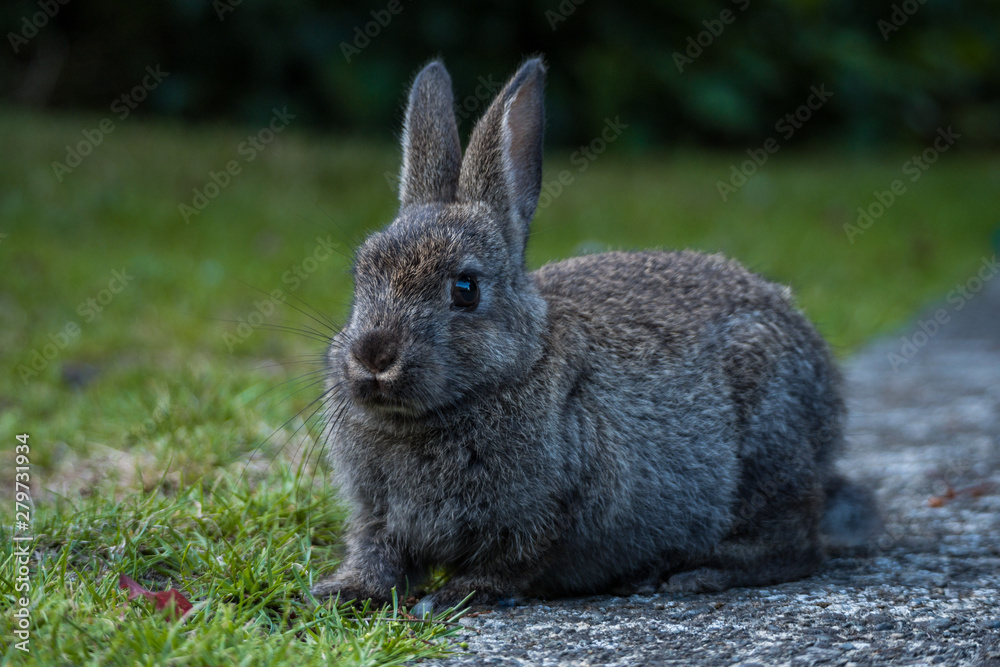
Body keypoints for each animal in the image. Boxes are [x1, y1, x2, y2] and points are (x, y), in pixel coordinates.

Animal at [310, 57, 880, 614]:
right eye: (362, 273)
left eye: (465, 289)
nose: (373, 357)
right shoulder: (380, 515)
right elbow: (378, 554)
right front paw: (339, 592)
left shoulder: (557, 509)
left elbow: (515, 560)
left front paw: (456, 594)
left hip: (769, 443)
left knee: (796, 544)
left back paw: (693, 572)